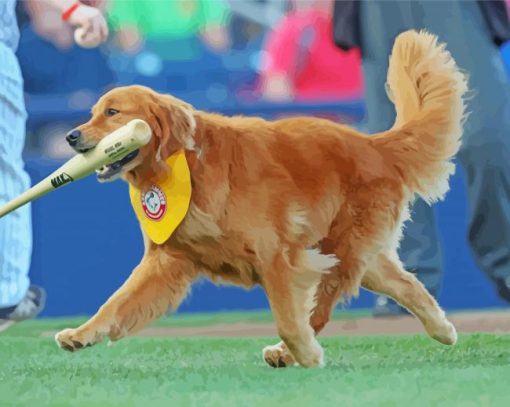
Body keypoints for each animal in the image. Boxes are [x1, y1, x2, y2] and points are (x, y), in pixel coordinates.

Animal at [54, 31, 466, 370]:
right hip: (354, 254)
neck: (184, 164)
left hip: (341, 251)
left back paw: (290, 353)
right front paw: (82, 333)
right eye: (93, 113)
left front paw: (305, 353)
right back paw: (443, 328)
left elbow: (288, 320)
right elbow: (116, 302)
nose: (71, 136)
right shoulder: (166, 260)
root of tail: (373, 144)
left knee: (321, 310)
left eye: (112, 113)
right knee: (406, 284)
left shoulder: (278, 257)